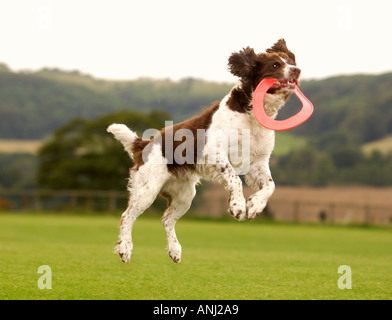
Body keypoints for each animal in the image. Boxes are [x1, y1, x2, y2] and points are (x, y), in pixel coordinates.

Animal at [107, 38, 300, 264]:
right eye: (275, 65)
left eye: (291, 61)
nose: (297, 70)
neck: (251, 114)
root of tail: (144, 144)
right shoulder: (215, 152)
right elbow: (235, 179)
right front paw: (238, 206)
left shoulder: (258, 162)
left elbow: (270, 185)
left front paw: (254, 206)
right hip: (148, 189)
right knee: (127, 216)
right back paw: (125, 249)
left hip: (185, 194)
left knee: (167, 219)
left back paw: (175, 250)